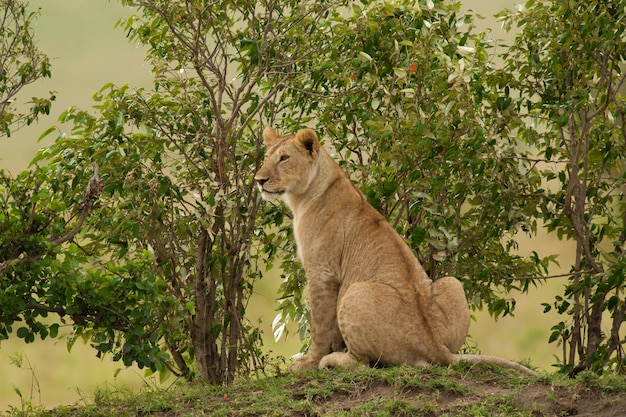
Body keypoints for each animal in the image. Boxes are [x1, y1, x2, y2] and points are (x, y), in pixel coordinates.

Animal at [254, 125, 536, 376]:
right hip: (452, 284)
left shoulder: (322, 271)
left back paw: (331, 360)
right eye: (267, 157)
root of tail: (435, 347)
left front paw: (309, 362)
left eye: (284, 158)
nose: (259, 180)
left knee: (363, 364)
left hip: (355, 291)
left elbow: (320, 325)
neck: (307, 192)